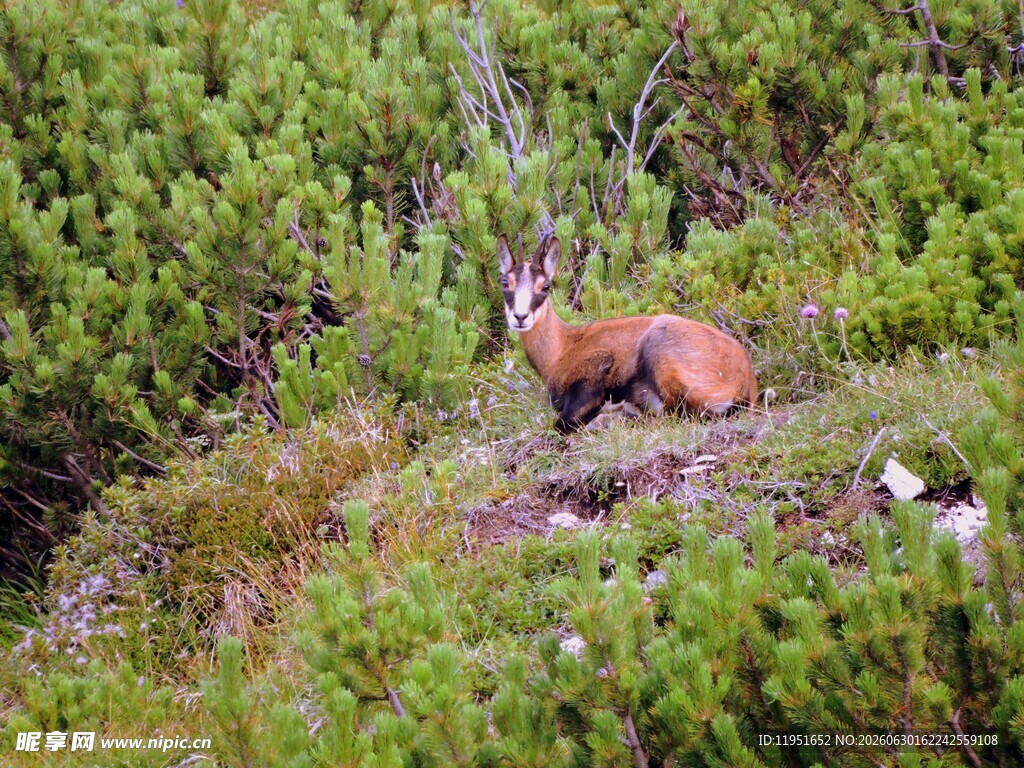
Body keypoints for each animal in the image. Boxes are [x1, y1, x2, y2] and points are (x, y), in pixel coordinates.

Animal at [498, 233, 757, 434]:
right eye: (505, 283)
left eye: (545, 286)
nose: (520, 317)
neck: (562, 348)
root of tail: (745, 381)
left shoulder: (593, 375)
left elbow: (563, 422)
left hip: (660, 355)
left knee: (675, 415)